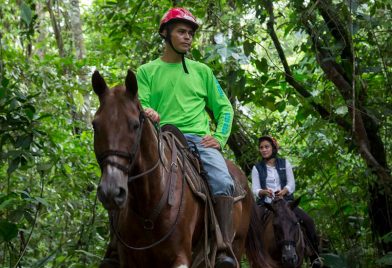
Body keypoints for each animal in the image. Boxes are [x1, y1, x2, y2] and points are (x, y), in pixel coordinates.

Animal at [90, 70, 268, 266]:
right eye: (95, 125)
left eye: (135, 125)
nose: (111, 190)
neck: (148, 204)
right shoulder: (129, 260)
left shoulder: (180, 257)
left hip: (236, 245)